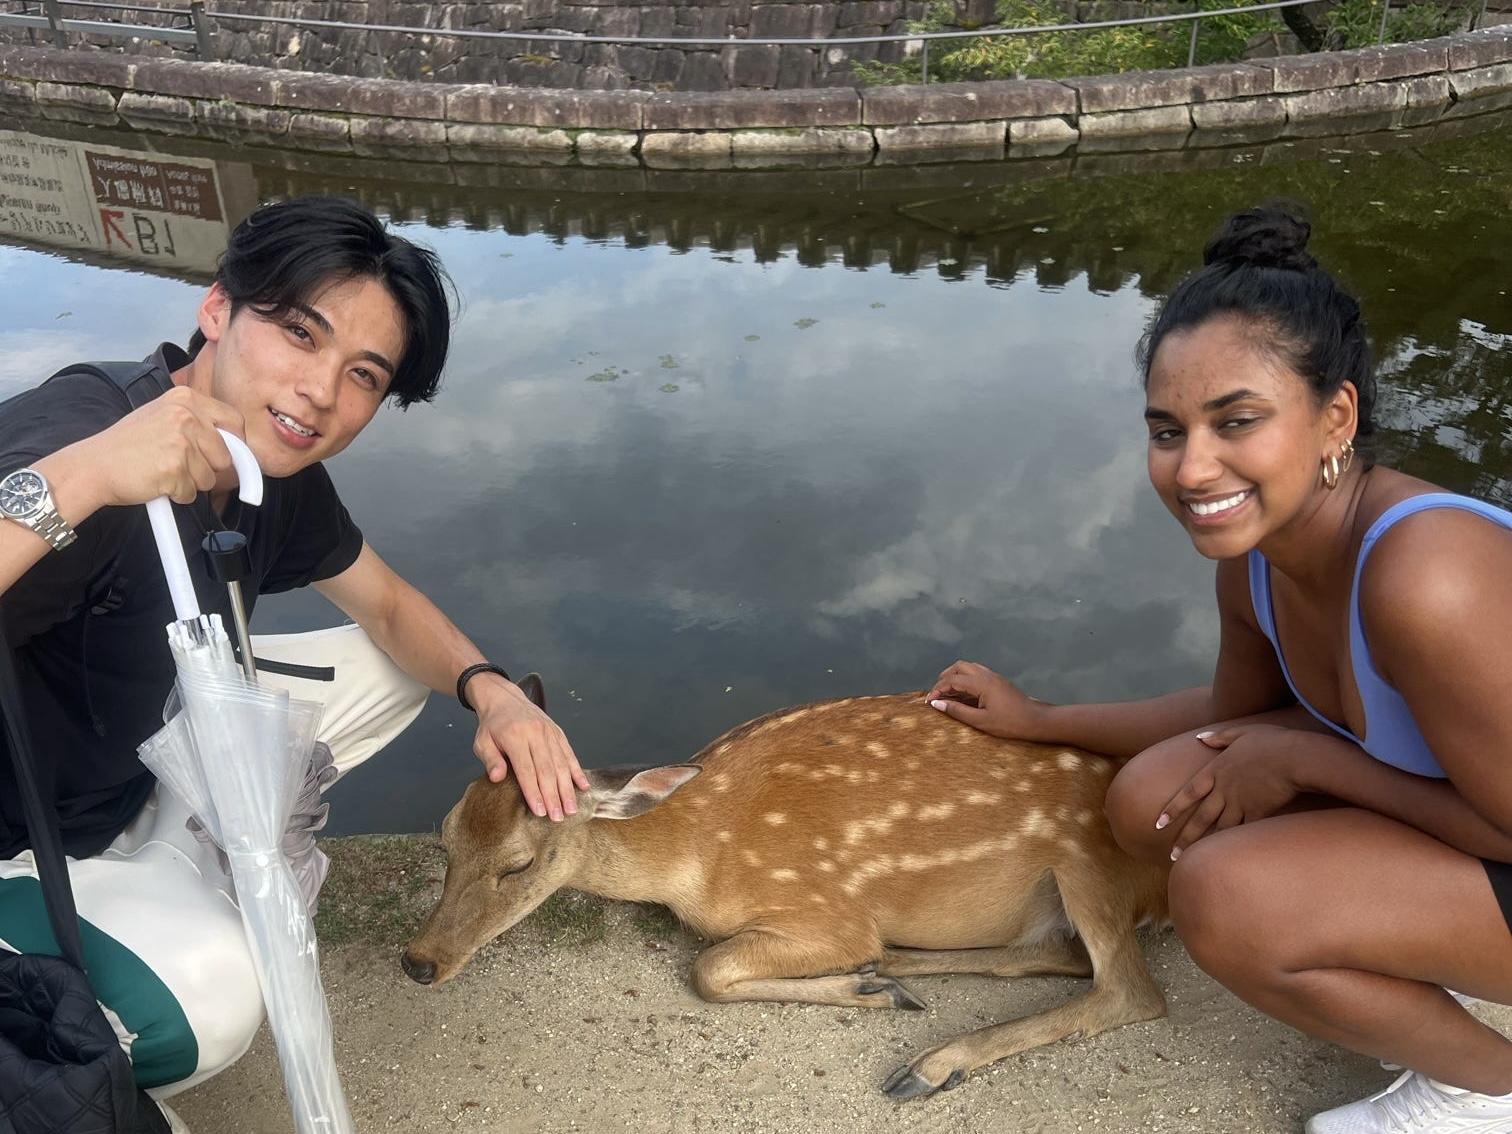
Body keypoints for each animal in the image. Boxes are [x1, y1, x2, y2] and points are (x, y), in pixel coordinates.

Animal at [401, 687, 1172, 1099]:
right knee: (1058, 956)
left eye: (518, 865)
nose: (418, 961)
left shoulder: (823, 909)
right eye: (445, 833)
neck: (695, 852)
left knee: (1131, 989)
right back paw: (893, 976)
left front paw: (866, 988)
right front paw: (872, 985)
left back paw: (928, 1062)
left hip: (1090, 863)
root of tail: (1161, 881)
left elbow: (707, 968)